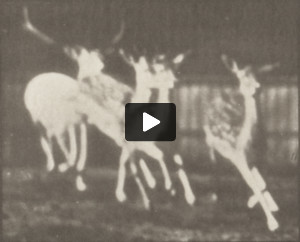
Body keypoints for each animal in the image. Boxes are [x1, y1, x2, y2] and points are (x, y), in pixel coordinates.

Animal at [203, 54, 280, 231]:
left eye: (259, 76)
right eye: (243, 77)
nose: (257, 87)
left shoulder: (262, 157)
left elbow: (264, 183)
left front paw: (261, 204)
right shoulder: (239, 157)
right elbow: (254, 185)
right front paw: (273, 224)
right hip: (210, 142)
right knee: (215, 166)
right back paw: (215, 196)